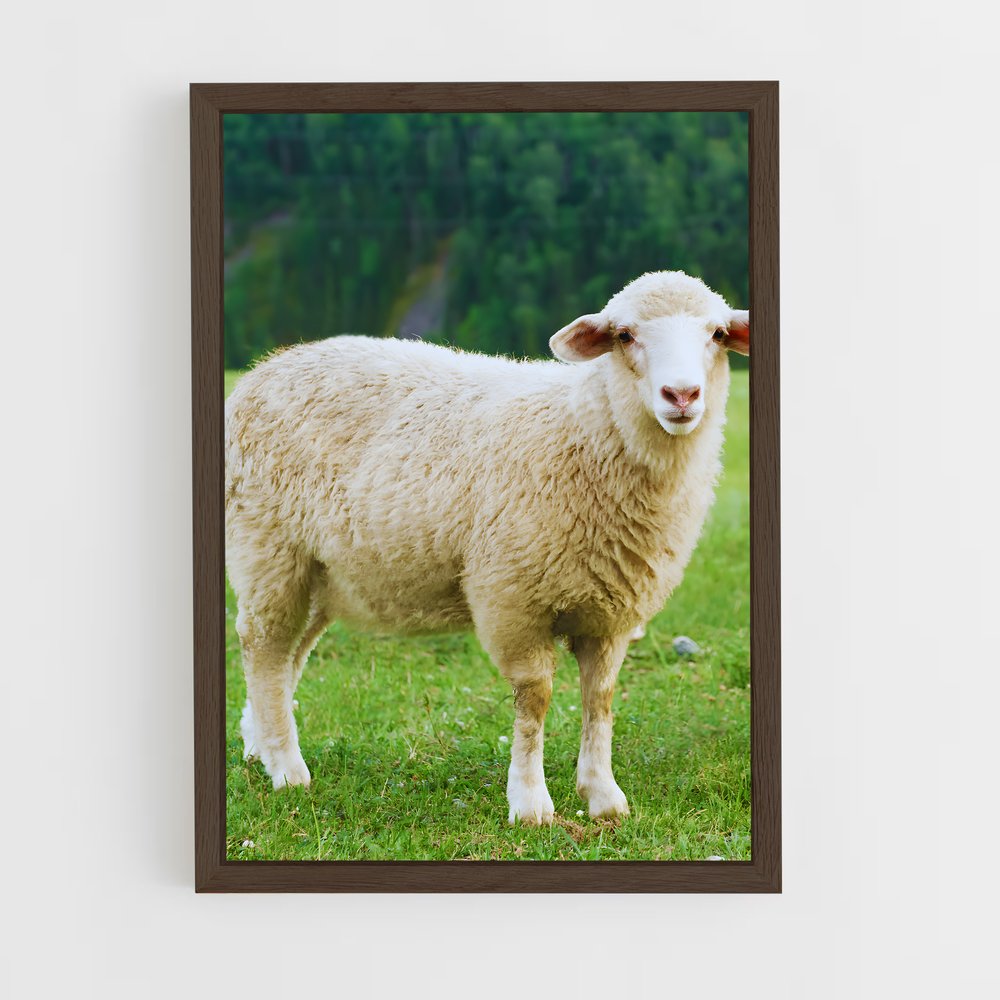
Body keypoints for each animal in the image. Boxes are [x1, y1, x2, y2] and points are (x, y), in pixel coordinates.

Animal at [225, 270, 749, 825]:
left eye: (717, 334)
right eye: (625, 335)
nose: (682, 395)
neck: (584, 433)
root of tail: (267, 367)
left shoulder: (612, 614)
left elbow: (600, 698)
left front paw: (603, 795)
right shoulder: (512, 599)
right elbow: (535, 697)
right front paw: (530, 802)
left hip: (322, 573)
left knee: (289, 655)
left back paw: (260, 745)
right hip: (268, 548)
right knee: (263, 647)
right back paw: (287, 769)